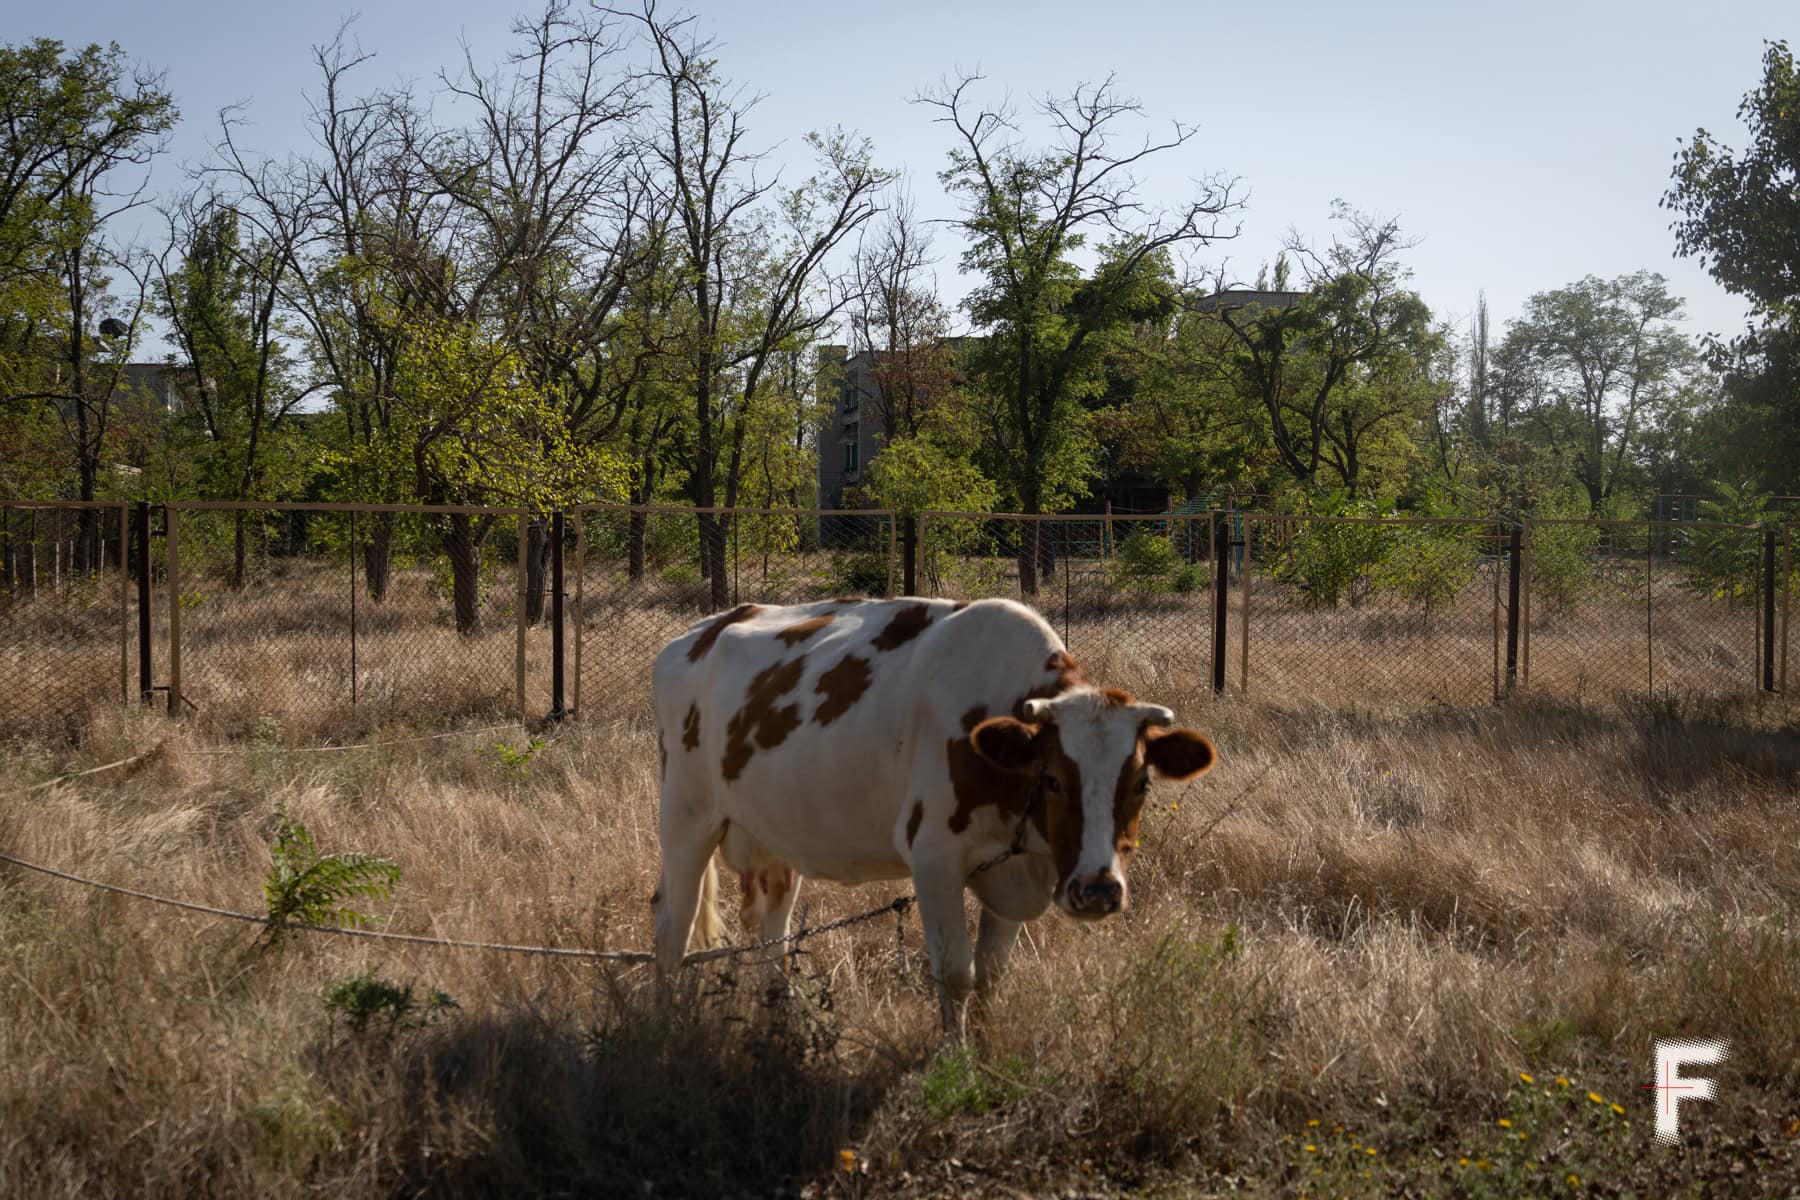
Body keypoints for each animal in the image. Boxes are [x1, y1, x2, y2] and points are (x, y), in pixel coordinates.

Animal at [640, 597, 1216, 1029]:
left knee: (772, 935)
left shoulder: (1011, 873)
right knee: (671, 930)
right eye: (1052, 779)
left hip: (774, 838)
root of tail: (700, 633)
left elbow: (991, 976)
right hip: (686, 819)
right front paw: (956, 1066)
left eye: (1140, 783)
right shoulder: (934, 859)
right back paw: (664, 1029)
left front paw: (984, 1055)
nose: (1097, 890)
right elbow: (956, 973)